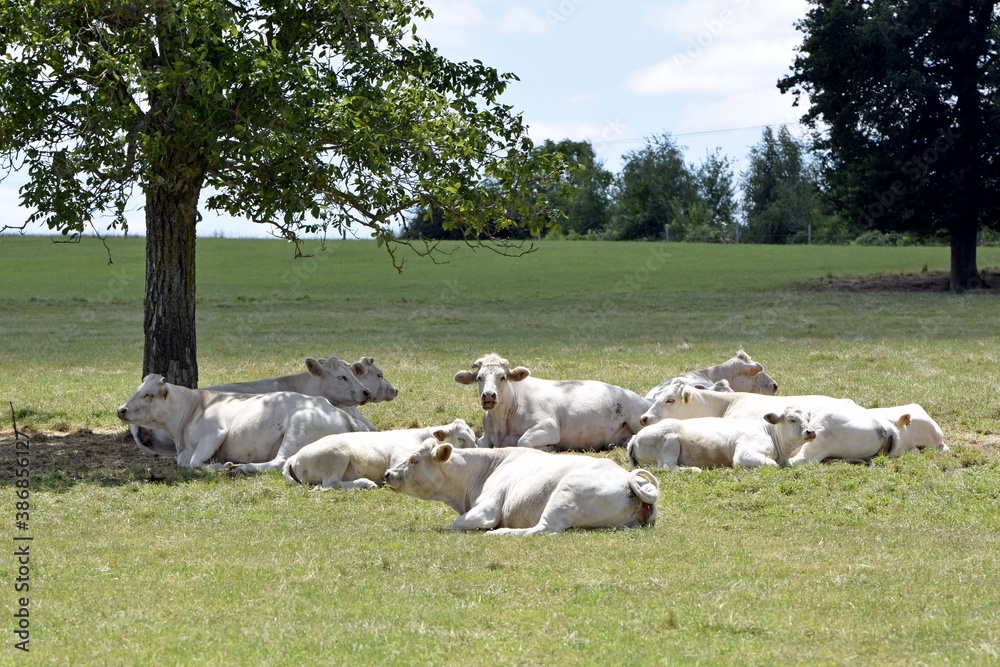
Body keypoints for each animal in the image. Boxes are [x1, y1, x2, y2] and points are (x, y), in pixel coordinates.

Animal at [118, 374, 370, 470]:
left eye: (148, 395)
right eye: (137, 390)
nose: (121, 410)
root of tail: (342, 414)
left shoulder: (215, 432)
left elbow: (194, 463)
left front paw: (221, 466)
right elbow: (185, 463)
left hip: (298, 428)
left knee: (278, 461)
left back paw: (243, 467)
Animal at [282, 419, 476, 490]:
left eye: (474, 437)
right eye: (461, 438)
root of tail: (294, 457)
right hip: (338, 454)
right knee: (330, 483)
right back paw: (366, 483)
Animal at [382, 443, 659, 535]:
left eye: (414, 460)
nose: (388, 474)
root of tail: (626, 479)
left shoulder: (486, 510)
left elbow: (456, 524)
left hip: (565, 494)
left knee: (544, 529)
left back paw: (502, 532)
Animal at [453, 353, 651, 451]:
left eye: (502, 377)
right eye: (479, 378)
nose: (488, 396)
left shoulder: (548, 427)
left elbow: (523, 442)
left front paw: (547, 447)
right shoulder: (487, 436)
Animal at [626, 408, 817, 471]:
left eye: (808, 418)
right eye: (792, 419)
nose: (810, 432)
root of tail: (636, 437)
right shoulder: (743, 454)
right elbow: (772, 464)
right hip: (669, 443)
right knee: (667, 467)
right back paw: (693, 469)